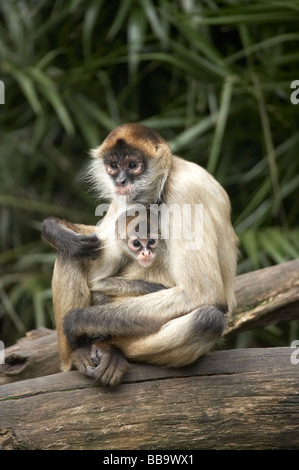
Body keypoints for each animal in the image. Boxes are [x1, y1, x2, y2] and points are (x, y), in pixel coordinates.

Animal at [42, 123, 239, 388]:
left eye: (133, 165)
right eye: (113, 166)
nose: (120, 180)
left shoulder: (183, 191)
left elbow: (203, 295)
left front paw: (76, 320)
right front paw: (54, 230)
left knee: (208, 320)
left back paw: (113, 350)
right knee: (71, 251)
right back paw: (77, 356)